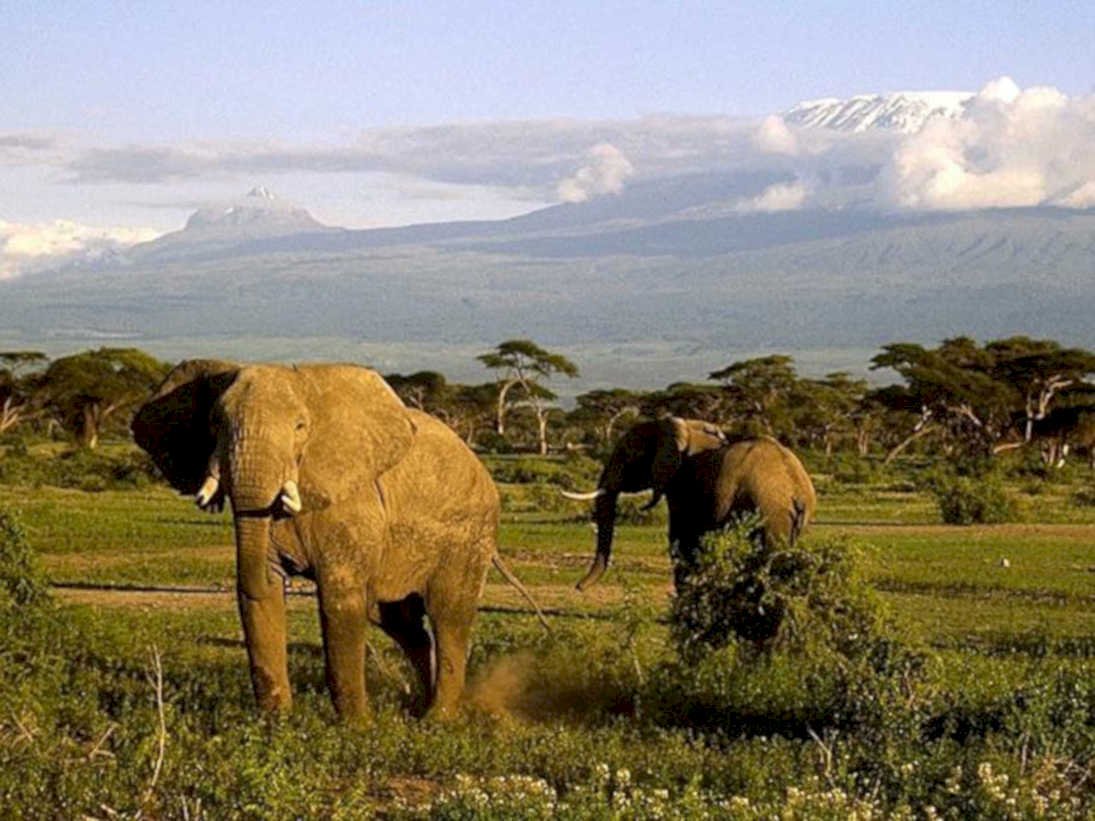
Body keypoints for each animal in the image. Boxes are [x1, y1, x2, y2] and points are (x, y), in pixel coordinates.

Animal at [132, 359, 536, 722]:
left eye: (300, 426)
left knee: (448, 617)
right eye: (215, 423)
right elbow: (261, 598)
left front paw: (356, 729)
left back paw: (436, 721)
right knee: (401, 623)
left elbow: (340, 601)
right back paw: (418, 708)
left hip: (470, 533)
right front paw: (277, 725)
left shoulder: (353, 502)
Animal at [562, 417, 816, 590]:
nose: (578, 587)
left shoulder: (681, 484)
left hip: (769, 512)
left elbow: (680, 540)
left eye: (626, 455)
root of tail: (796, 490)